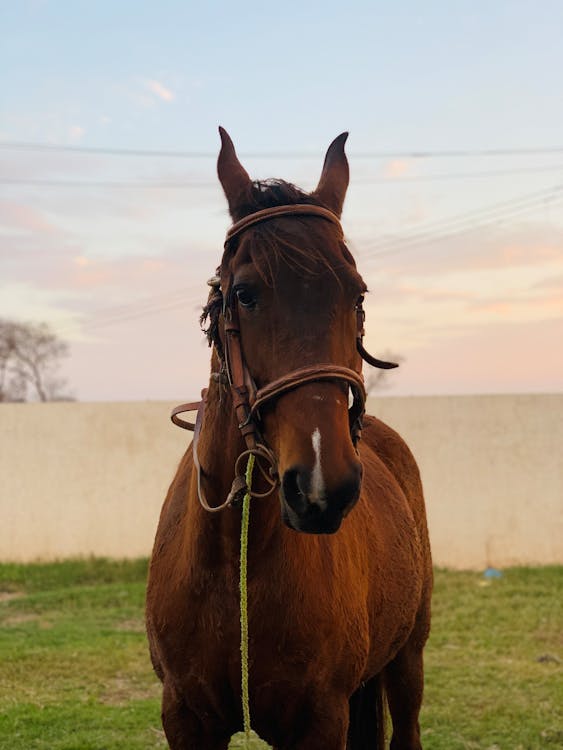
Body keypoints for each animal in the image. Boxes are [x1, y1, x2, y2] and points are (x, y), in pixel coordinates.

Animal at [145, 129, 432, 750]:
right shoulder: (184, 717)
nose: (324, 485)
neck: (234, 563)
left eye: (356, 295)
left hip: (408, 657)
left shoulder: (321, 719)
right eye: (244, 294)